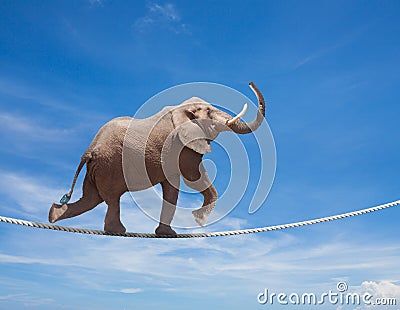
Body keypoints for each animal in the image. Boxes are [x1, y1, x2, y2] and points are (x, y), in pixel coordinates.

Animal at [49, 81, 266, 235]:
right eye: (209, 112)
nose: (250, 83)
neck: (182, 108)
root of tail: (89, 151)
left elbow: (173, 186)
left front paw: (168, 233)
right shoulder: (181, 143)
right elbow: (192, 176)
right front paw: (199, 220)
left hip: (98, 168)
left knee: (92, 199)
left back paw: (53, 215)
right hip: (110, 165)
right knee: (111, 199)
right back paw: (117, 231)